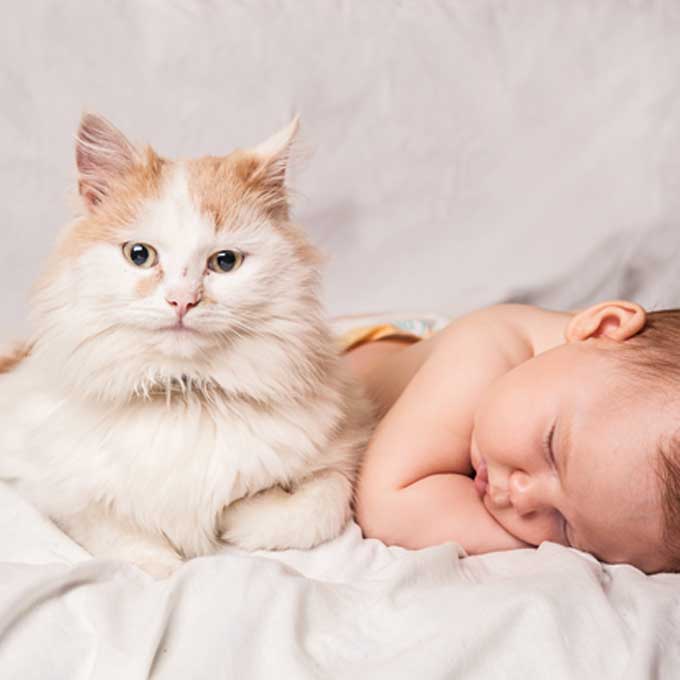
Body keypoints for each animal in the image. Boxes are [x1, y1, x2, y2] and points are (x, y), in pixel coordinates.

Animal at [0, 113, 374, 580]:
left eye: (225, 262)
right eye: (139, 255)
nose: (182, 301)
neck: (185, 393)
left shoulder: (345, 445)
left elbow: (316, 507)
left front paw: (238, 516)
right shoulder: (47, 488)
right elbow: (126, 543)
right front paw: (170, 567)